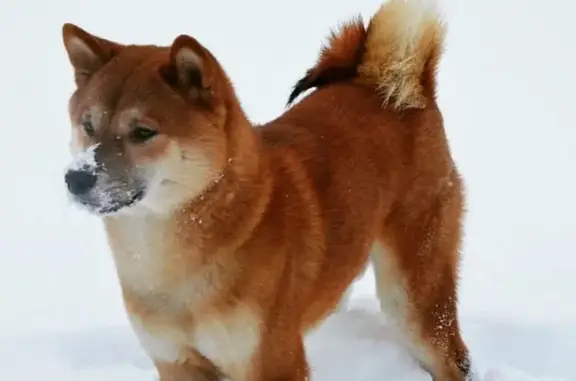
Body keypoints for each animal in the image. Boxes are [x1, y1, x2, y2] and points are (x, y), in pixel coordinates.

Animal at [60, 0, 472, 380]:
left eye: (144, 132)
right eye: (88, 125)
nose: (76, 178)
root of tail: (393, 88)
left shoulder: (272, 360)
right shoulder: (175, 361)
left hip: (414, 298)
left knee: (452, 358)